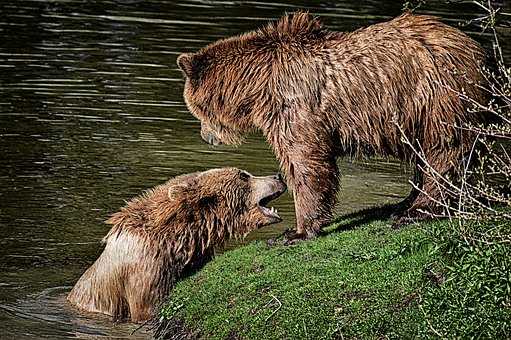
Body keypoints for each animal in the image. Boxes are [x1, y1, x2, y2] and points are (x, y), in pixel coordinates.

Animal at [177, 11, 488, 240]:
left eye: (194, 108)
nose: (206, 136)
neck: (257, 86)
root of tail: (477, 50)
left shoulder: (295, 107)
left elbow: (305, 162)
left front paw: (297, 231)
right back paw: (405, 202)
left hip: (436, 95)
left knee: (443, 149)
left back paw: (419, 209)